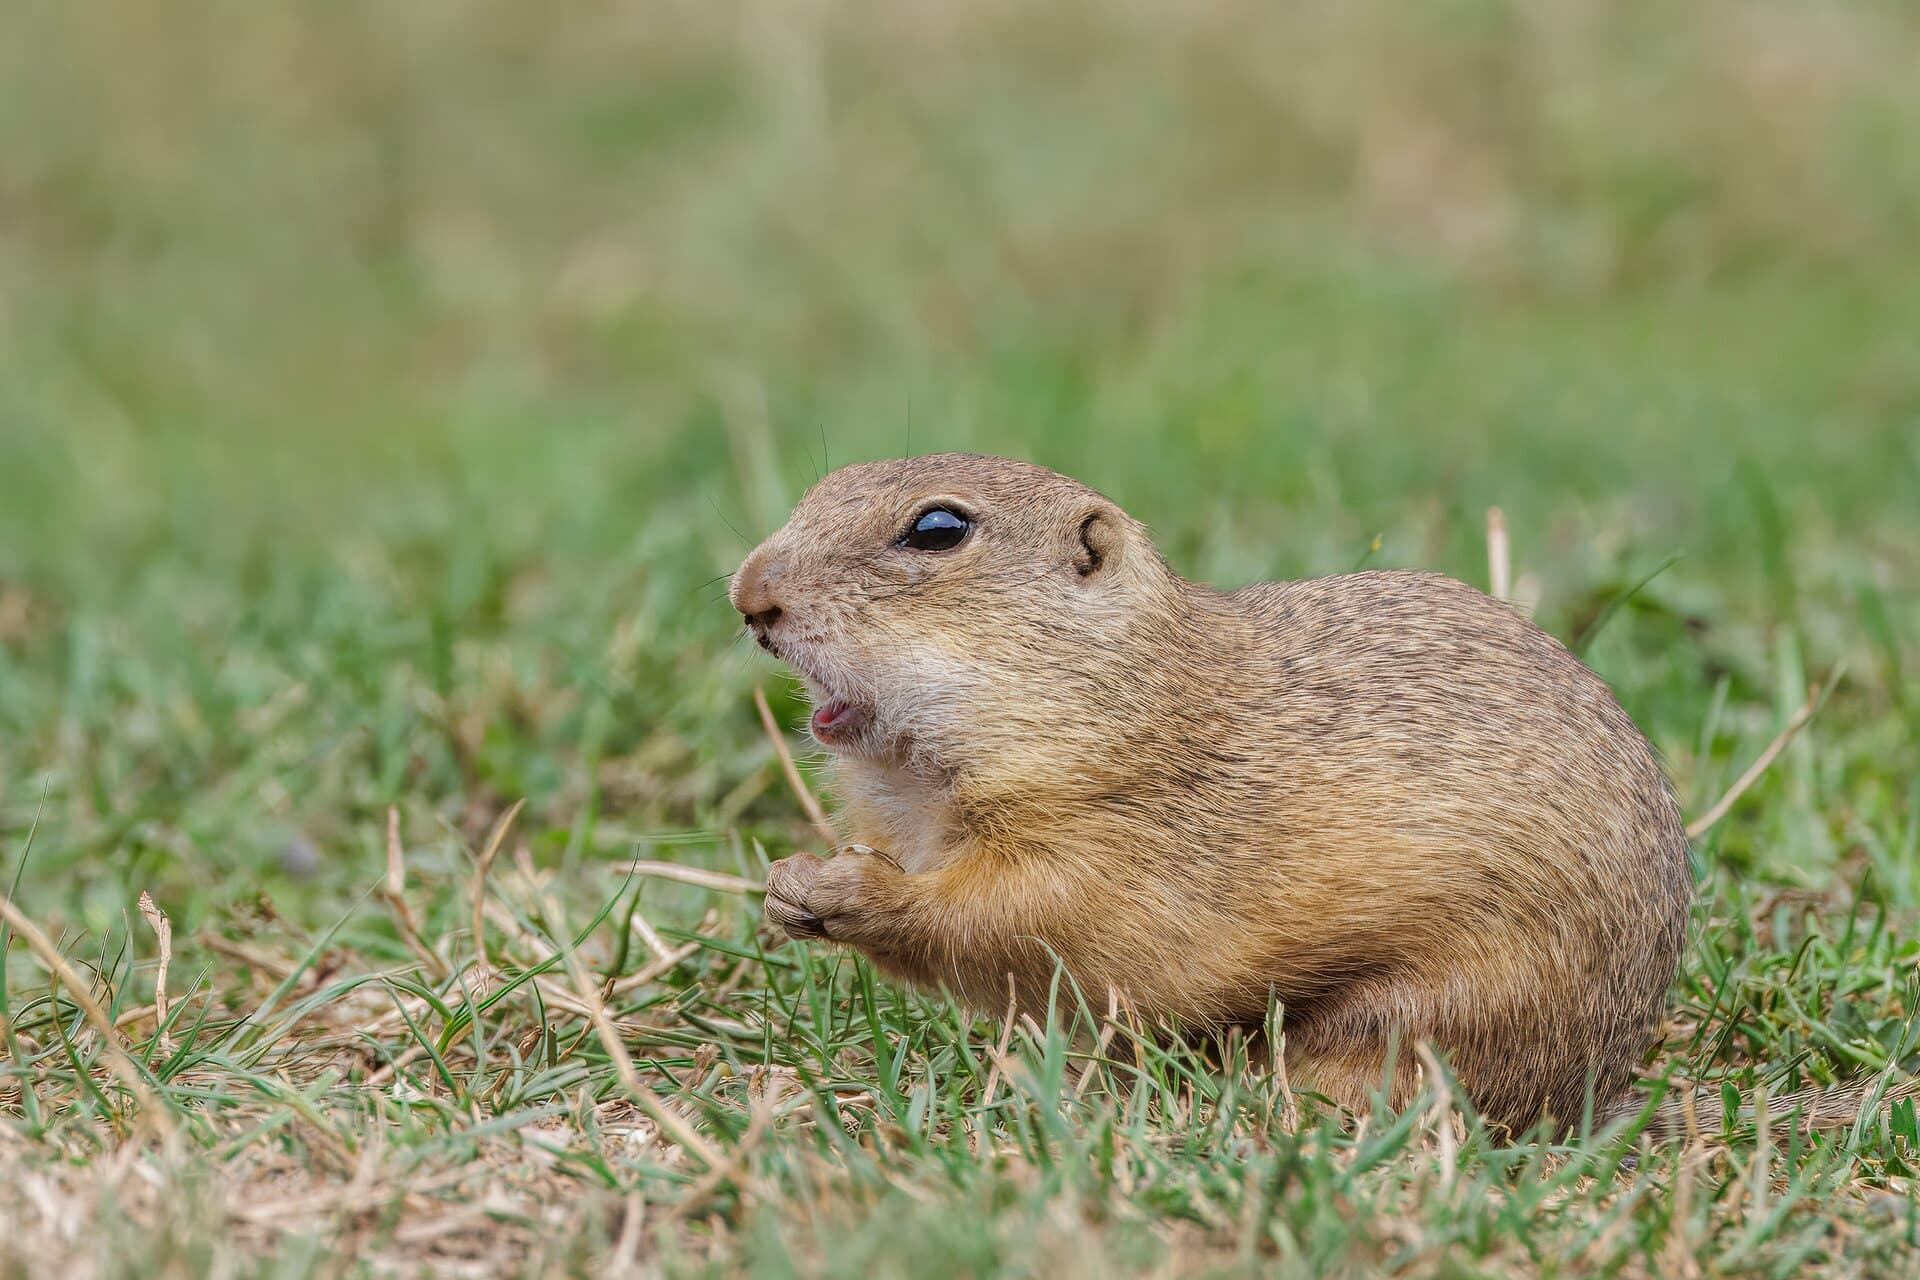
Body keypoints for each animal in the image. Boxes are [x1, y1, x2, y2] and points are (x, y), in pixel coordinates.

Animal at [730, 452, 1697, 1135]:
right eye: (819, 490)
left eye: (937, 528)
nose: (748, 594)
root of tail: (1599, 1080)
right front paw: (787, 882)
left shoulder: (1108, 841)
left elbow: (1014, 920)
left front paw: (848, 888)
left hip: (1434, 1009)